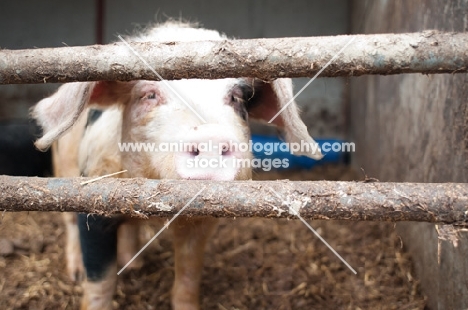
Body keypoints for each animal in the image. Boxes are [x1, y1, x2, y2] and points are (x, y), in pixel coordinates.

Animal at [32, 22, 322, 310]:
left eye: (238, 98)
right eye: (149, 95)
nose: (210, 136)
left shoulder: (201, 224)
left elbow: (189, 274)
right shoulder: (94, 200)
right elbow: (100, 282)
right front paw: (90, 283)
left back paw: (134, 265)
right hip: (63, 165)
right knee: (69, 224)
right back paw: (77, 273)